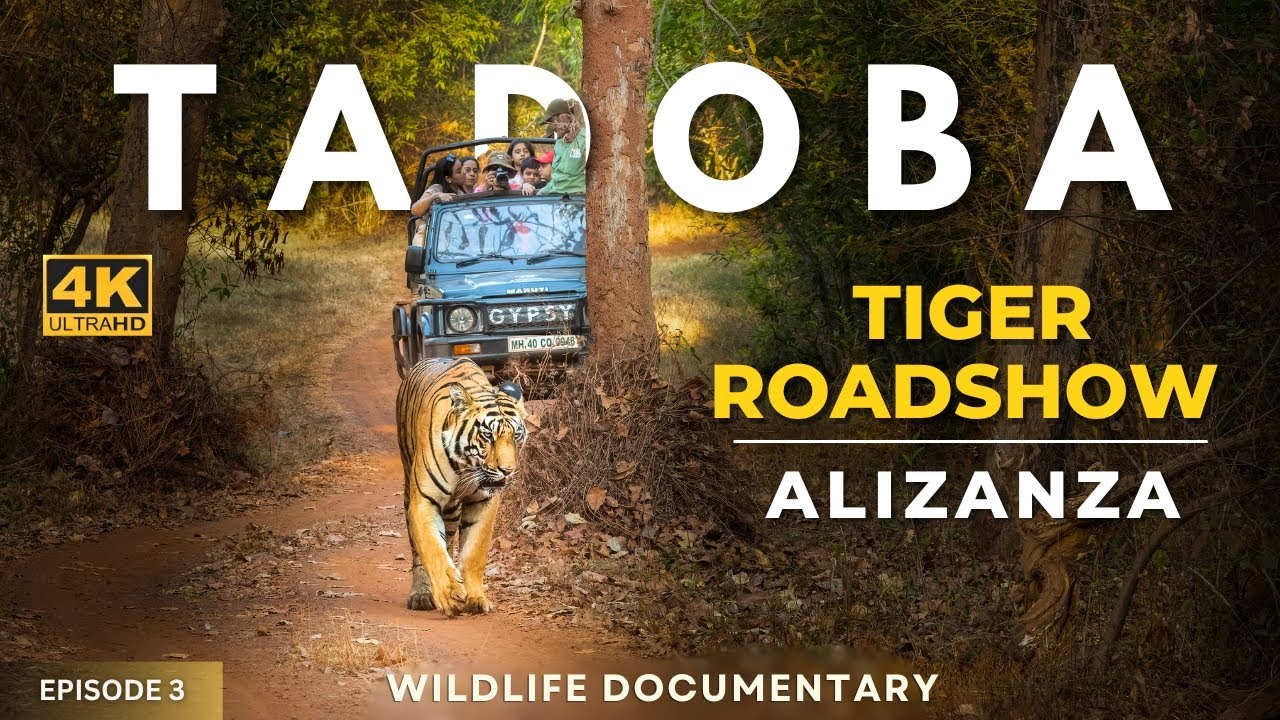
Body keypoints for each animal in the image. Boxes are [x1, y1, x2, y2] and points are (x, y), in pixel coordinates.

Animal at [396, 357, 528, 616]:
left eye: (516, 435)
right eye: (488, 435)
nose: (508, 470)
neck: (466, 467)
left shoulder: (484, 501)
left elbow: (475, 552)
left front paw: (475, 597)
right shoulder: (424, 500)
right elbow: (432, 549)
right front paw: (448, 593)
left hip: (451, 509)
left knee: (448, 535)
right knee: (418, 549)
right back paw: (421, 594)